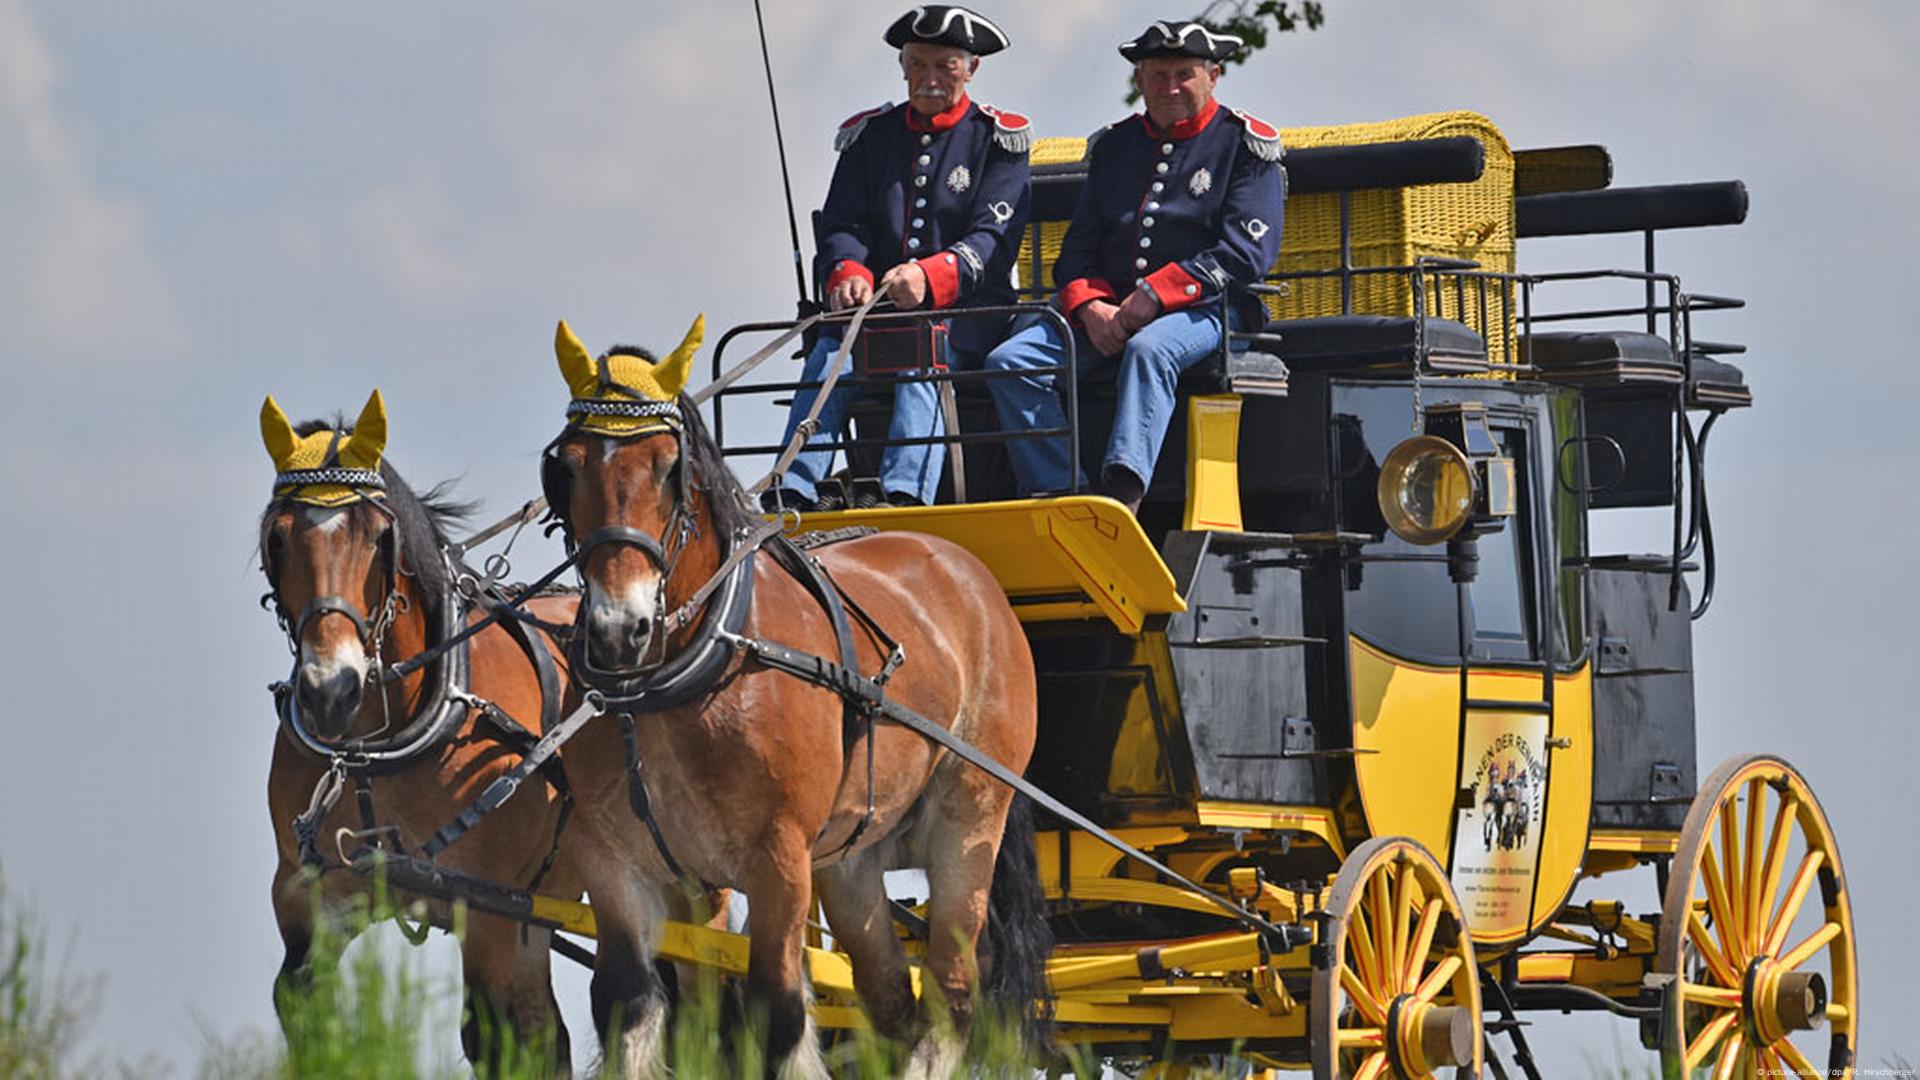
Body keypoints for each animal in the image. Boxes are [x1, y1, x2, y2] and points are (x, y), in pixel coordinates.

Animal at [259, 390, 583, 1068]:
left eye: (379, 535)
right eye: (276, 536)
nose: (331, 690)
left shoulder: (489, 908)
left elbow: (490, 1035)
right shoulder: (308, 900)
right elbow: (307, 1015)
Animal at [537, 315, 1052, 1068]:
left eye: (667, 465)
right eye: (568, 465)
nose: (619, 630)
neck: (678, 681)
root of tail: (965, 568)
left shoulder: (777, 860)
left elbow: (776, 1012)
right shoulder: (616, 863)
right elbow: (630, 1007)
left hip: (970, 819)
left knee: (952, 994)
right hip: (852, 858)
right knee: (890, 999)